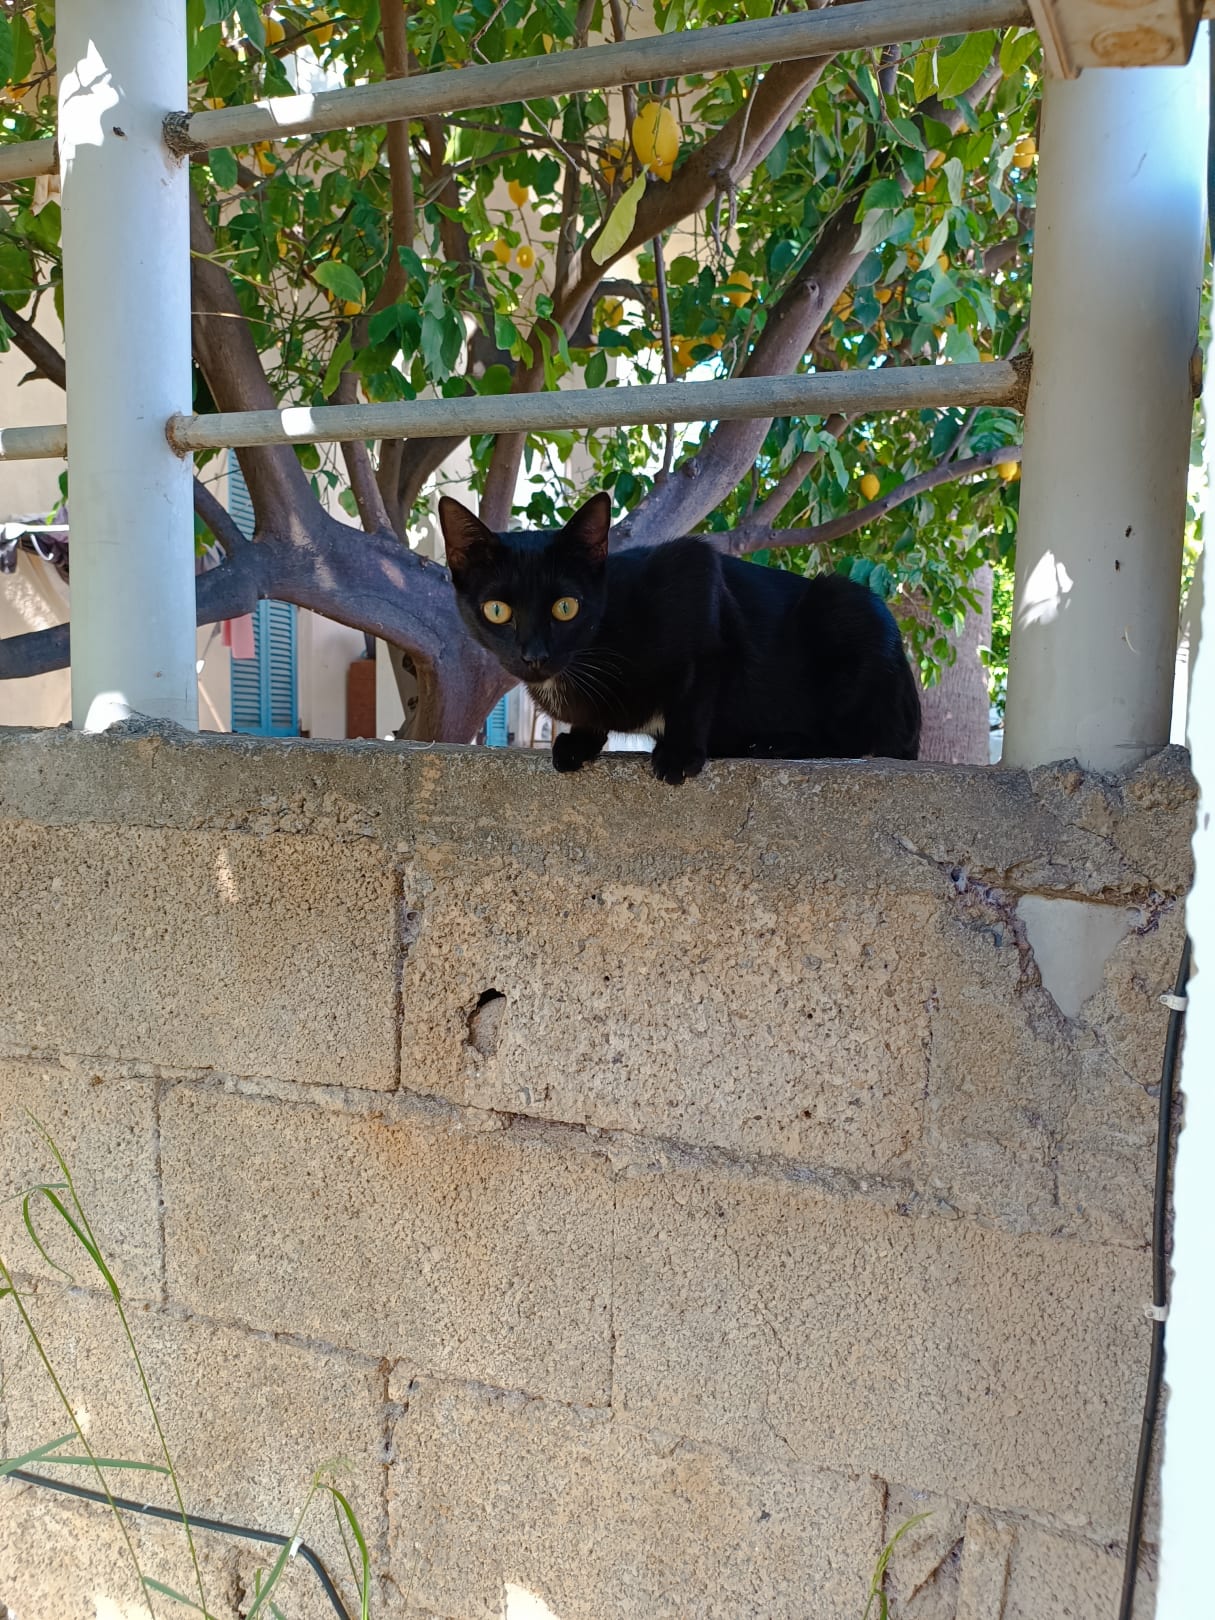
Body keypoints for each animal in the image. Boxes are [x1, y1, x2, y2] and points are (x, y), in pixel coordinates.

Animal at [439, 491, 921, 784]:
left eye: (565, 607)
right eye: (497, 610)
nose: (534, 655)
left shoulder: (697, 576)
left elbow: (698, 685)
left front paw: (679, 753)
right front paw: (580, 739)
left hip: (846, 606)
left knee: (856, 740)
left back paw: (774, 743)